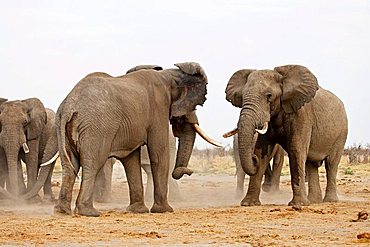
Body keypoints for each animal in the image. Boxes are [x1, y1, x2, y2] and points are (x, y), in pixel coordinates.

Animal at [53, 61, 218, 216]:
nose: (188, 171)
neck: (169, 74)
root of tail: (69, 106)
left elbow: (131, 159)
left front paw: (138, 210)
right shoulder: (158, 108)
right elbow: (159, 152)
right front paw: (164, 210)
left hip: (62, 126)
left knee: (69, 166)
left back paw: (62, 211)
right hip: (96, 127)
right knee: (93, 163)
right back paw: (88, 212)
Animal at [224, 64, 348, 206]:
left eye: (269, 96)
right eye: (243, 96)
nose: (253, 158)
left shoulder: (302, 115)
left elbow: (296, 150)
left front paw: (298, 205)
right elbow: (262, 152)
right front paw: (248, 204)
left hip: (341, 133)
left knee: (331, 163)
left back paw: (329, 201)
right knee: (311, 164)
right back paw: (313, 201)